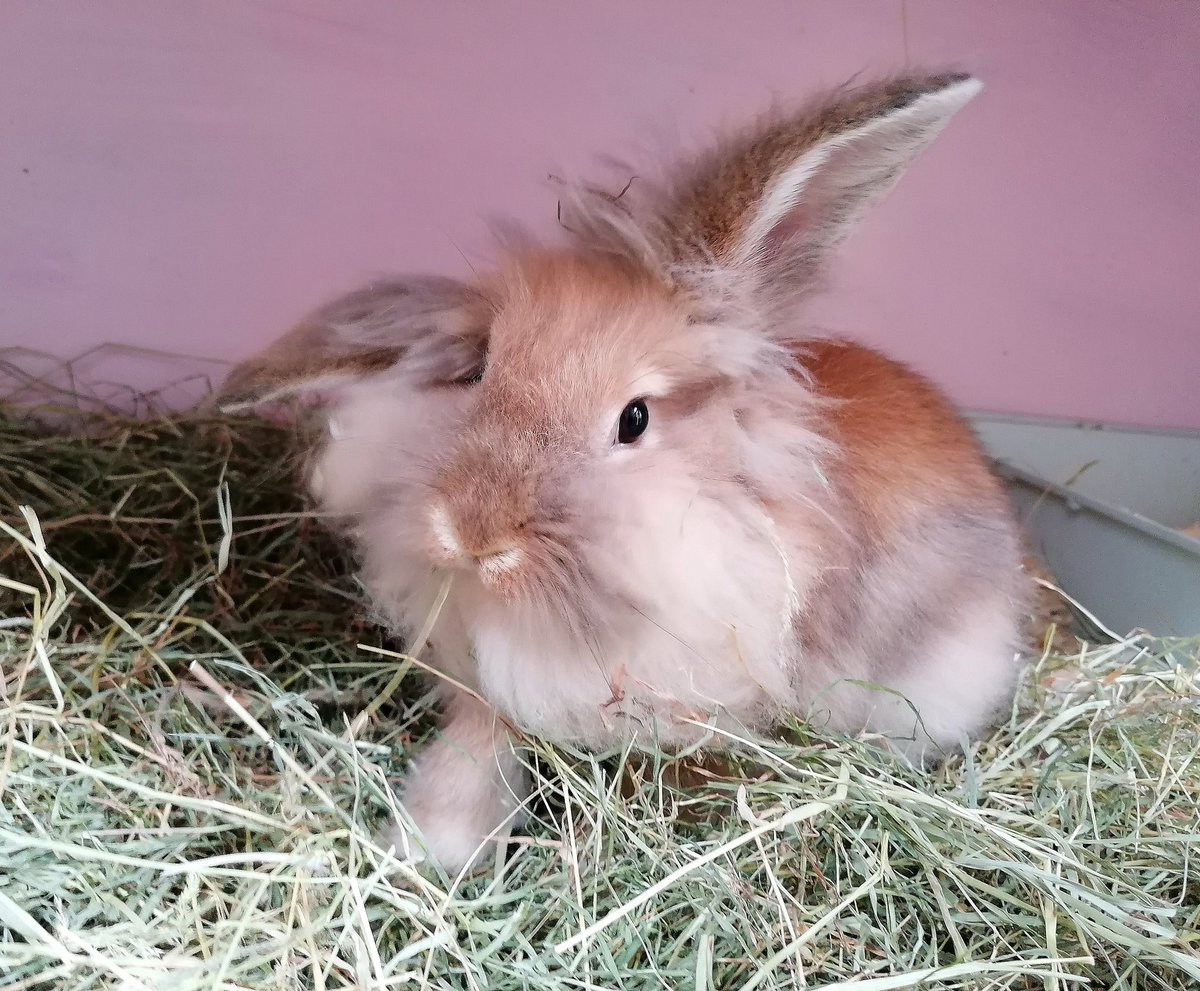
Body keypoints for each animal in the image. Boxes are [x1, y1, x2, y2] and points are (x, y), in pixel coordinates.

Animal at [218, 71, 1026, 875]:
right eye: (479, 370)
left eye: (633, 419)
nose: (474, 534)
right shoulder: (488, 691)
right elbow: (477, 753)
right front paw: (431, 848)